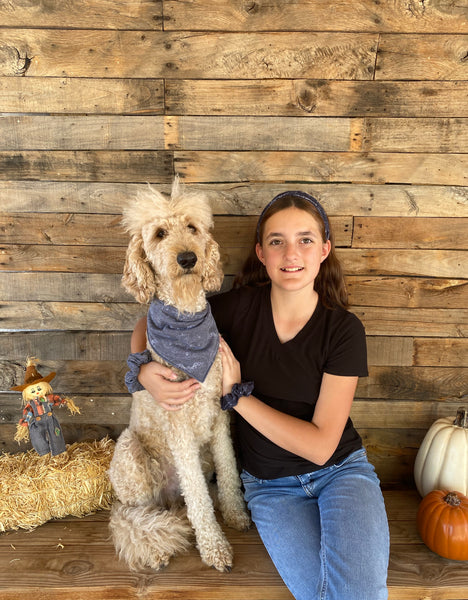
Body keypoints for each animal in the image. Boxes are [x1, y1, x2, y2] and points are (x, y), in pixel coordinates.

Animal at [108, 177, 250, 572]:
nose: (188, 258)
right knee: (133, 515)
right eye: (159, 233)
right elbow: (199, 498)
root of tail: (168, 496)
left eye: (192, 228)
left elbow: (229, 471)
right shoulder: (180, 429)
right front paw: (215, 547)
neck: (186, 321)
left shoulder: (218, 416)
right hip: (130, 457)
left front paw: (235, 515)